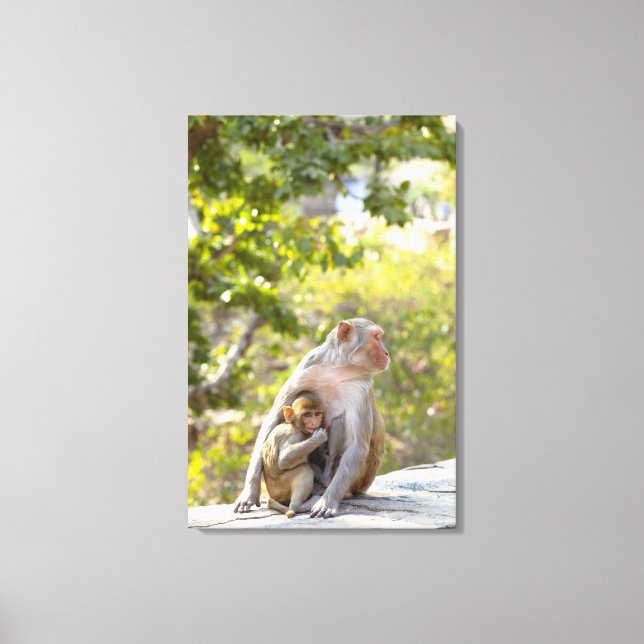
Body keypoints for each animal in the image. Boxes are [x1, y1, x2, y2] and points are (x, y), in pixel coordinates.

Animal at [234, 318, 390, 519]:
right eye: (376, 337)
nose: (386, 352)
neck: (340, 369)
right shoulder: (306, 368)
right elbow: (272, 421)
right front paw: (249, 492)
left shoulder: (361, 387)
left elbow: (357, 445)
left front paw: (327, 501)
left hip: (361, 480)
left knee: (341, 423)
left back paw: (328, 488)